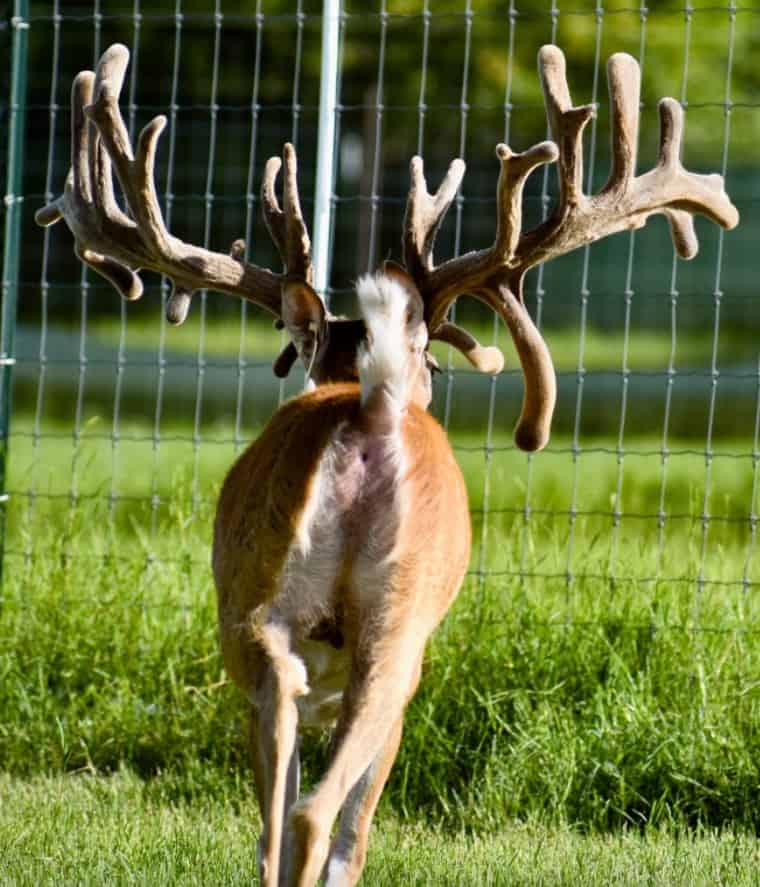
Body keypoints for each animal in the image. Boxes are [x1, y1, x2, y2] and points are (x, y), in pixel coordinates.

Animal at [37, 42, 737, 887]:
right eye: (435, 361)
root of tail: (368, 409)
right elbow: (356, 818)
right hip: (398, 626)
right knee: (319, 814)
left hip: (257, 609)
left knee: (276, 792)